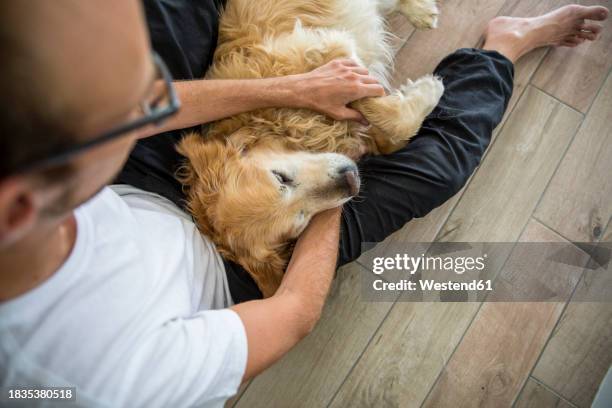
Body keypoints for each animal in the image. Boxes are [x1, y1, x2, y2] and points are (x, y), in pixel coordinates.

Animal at [179, 0, 442, 296]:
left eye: (280, 178)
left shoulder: (327, 54)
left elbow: (379, 110)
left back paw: (421, 12)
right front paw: (421, 95)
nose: (351, 179)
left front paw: (428, 89)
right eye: (301, 221)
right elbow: (392, 134)